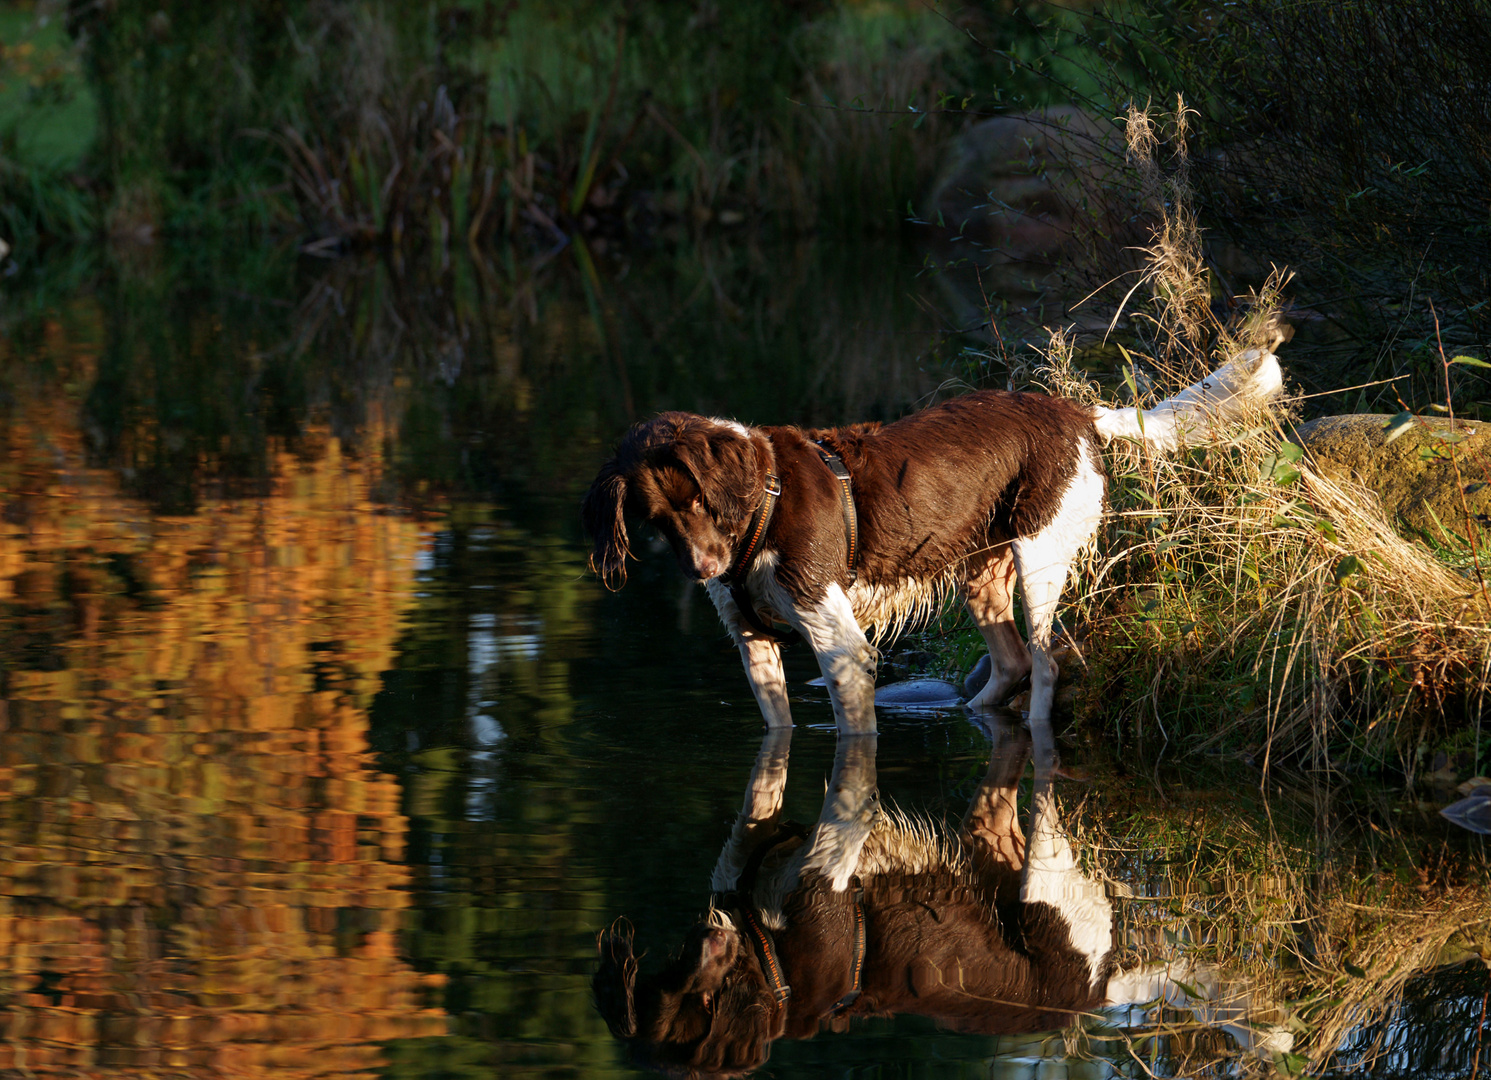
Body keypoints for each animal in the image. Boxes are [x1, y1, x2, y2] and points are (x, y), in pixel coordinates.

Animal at [581, 355, 1282, 733]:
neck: (762, 506)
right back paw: (971, 712)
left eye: (699, 502)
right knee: (1011, 662)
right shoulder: (755, 645)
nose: (703, 569)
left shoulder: (839, 643)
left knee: (1045, 663)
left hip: (1038, 557)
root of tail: (1081, 415)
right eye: (655, 519)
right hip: (982, 572)